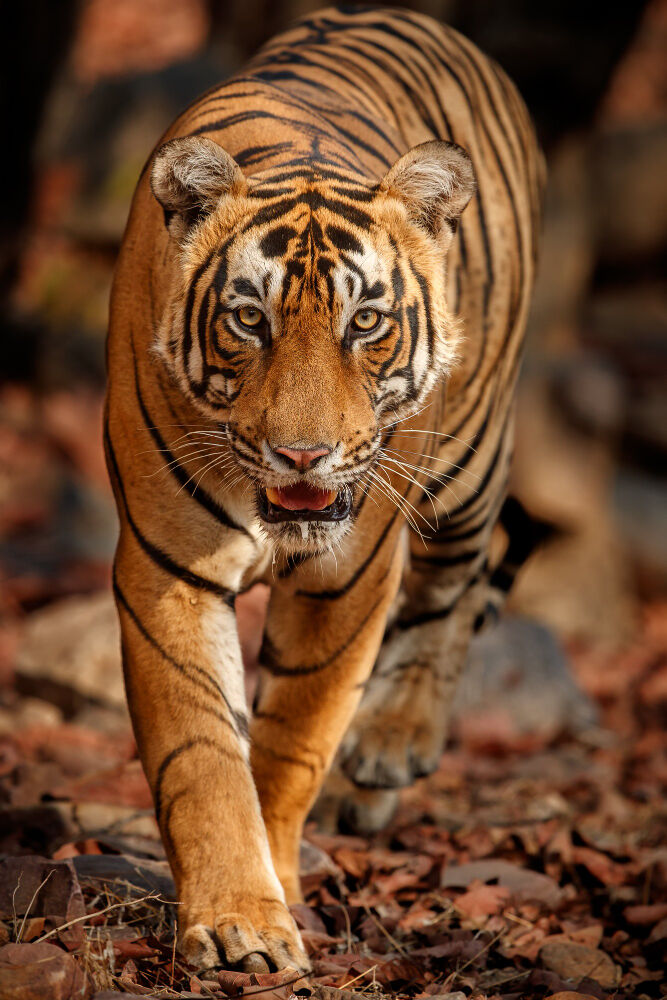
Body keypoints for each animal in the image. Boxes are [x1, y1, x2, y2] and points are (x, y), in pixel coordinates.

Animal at [105, 3, 543, 975]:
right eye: (248, 320)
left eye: (365, 322)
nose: (301, 456)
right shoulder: (168, 571)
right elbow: (203, 753)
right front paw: (239, 920)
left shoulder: (350, 578)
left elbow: (292, 744)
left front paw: (275, 881)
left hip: (466, 461)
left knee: (462, 577)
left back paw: (391, 745)